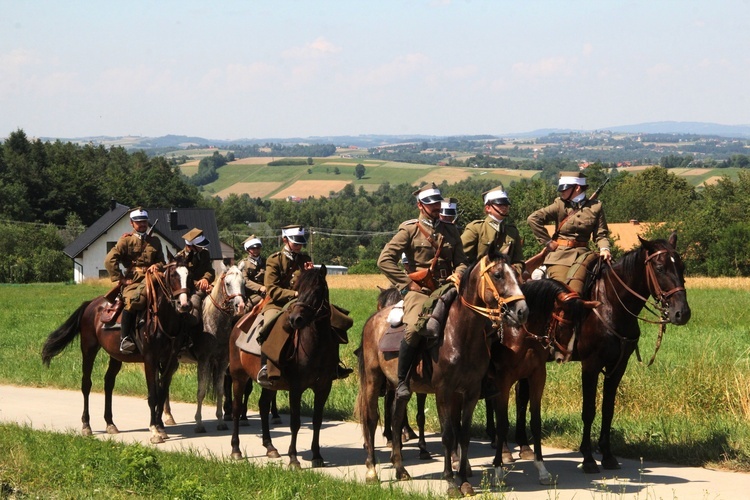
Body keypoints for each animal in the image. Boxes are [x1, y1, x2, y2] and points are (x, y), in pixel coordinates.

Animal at [40, 258, 194, 446]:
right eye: (172, 275)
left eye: (189, 275)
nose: (184, 305)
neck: (162, 319)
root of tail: (90, 304)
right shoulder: (150, 359)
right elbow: (152, 394)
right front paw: (154, 431)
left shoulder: (169, 360)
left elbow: (161, 392)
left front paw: (161, 427)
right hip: (89, 349)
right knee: (86, 384)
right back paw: (86, 425)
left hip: (116, 356)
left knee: (108, 383)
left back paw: (110, 423)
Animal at [175, 266, 245, 434]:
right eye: (228, 283)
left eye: (243, 282)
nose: (240, 306)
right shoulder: (204, 361)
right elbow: (201, 392)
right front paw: (199, 424)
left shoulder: (222, 362)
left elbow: (220, 390)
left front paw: (221, 421)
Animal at [226, 266, 338, 468]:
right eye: (298, 289)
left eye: (317, 291)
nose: (295, 319)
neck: (316, 345)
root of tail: (238, 323)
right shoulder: (296, 388)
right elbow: (295, 422)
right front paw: (293, 458)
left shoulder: (324, 387)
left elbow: (317, 421)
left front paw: (317, 455)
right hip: (239, 377)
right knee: (237, 408)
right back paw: (236, 449)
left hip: (271, 383)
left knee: (263, 406)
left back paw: (270, 447)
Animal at [358, 247, 528, 496]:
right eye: (498, 275)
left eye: (517, 275)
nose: (522, 311)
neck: (460, 334)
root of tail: (373, 319)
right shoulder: (443, 392)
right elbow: (448, 435)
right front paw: (450, 482)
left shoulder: (470, 392)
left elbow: (463, 435)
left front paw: (464, 480)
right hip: (372, 379)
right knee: (371, 420)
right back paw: (371, 471)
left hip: (401, 387)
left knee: (397, 420)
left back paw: (400, 469)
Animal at [488, 278, 604, 484]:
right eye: (563, 326)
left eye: (578, 328)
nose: (564, 356)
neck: (518, 335)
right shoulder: (503, 381)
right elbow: (502, 423)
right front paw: (498, 470)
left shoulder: (537, 376)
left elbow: (536, 421)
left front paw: (542, 469)